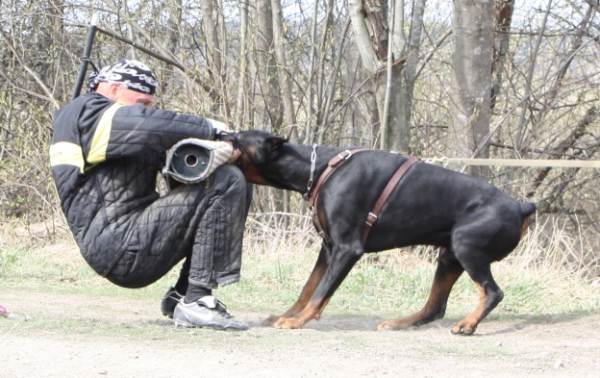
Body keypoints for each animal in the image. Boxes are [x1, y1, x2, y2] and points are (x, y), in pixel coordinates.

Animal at [233, 129, 536, 334]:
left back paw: (468, 324)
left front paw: (297, 321)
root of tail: (522, 206)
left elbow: (320, 292)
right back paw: (399, 323)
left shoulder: (347, 248)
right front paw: (286, 315)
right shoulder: (328, 247)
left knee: (492, 292)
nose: (223, 131)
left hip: (466, 246)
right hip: (449, 255)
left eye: (235, 138)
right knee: (435, 307)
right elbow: (308, 287)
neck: (318, 168)